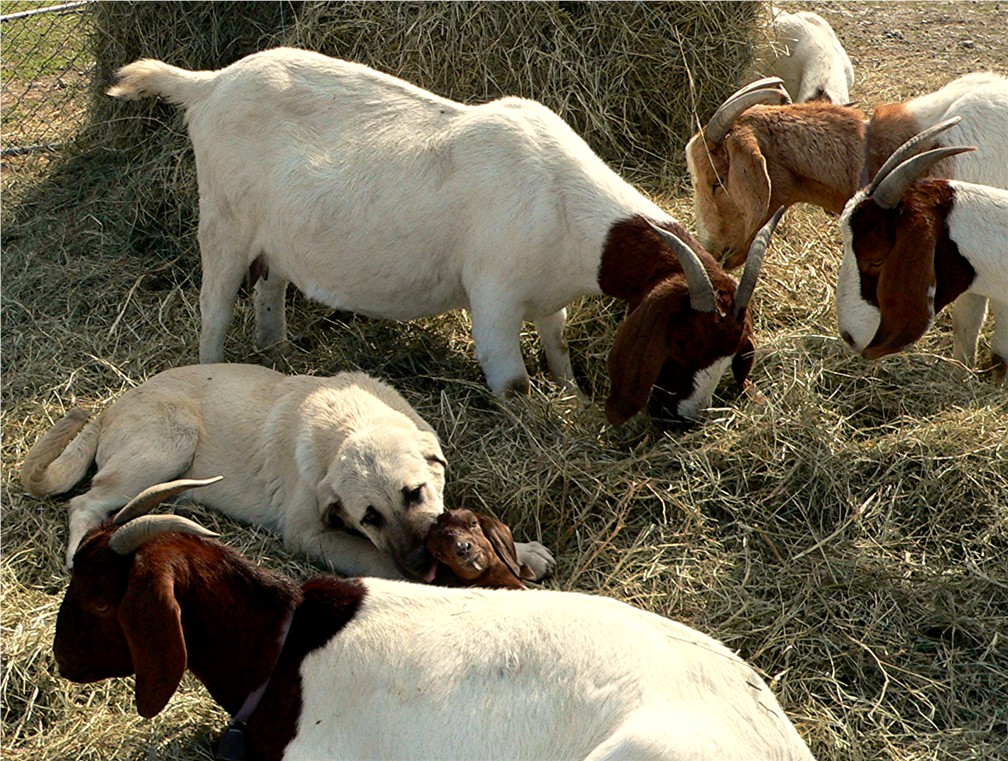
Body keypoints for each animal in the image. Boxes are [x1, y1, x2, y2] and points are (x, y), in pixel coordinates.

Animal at [21, 362, 552, 576]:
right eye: (369, 518)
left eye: (415, 493)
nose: (423, 561)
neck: (352, 421)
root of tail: (110, 407)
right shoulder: (309, 534)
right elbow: (376, 558)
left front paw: (521, 550)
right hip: (167, 444)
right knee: (85, 502)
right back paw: (78, 554)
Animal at [104, 46, 778, 429]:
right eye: (683, 343)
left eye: (735, 351)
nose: (686, 419)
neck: (564, 204)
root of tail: (209, 84)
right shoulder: (496, 298)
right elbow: (512, 382)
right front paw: (539, 428)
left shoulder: (548, 298)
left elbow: (558, 346)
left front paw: (571, 394)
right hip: (224, 221)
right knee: (215, 307)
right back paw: (213, 374)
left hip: (277, 238)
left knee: (269, 286)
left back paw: (277, 354)